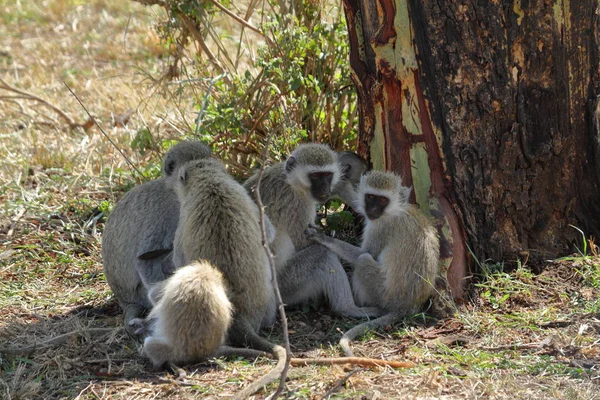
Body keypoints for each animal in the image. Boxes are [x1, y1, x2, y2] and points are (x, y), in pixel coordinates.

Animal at [244, 142, 380, 318]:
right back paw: (349, 309)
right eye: (315, 175)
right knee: (322, 254)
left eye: (327, 175)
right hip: (286, 285)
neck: (292, 180)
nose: (325, 189)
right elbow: (305, 243)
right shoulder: (298, 203)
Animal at [308, 171, 438, 356]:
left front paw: (325, 238)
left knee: (363, 261)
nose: (372, 210)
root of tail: (406, 306)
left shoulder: (380, 227)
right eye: (370, 197)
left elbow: (366, 254)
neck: (396, 210)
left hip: (381, 294)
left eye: (383, 200)